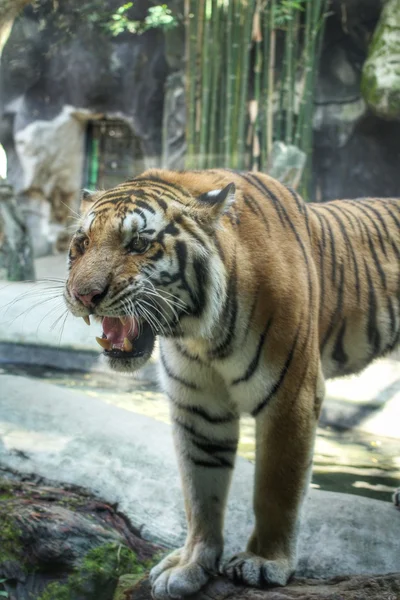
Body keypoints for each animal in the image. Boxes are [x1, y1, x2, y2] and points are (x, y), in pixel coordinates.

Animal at [64, 170, 398, 600]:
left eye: (138, 243)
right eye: (83, 243)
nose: (83, 295)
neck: (199, 333)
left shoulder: (292, 396)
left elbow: (277, 488)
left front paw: (264, 561)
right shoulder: (198, 406)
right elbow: (200, 490)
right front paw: (191, 564)